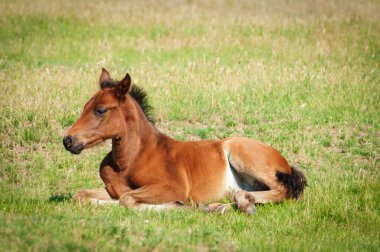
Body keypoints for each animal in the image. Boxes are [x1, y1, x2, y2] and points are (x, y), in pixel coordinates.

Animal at [62, 68, 306, 214]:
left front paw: (190, 206)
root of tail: (284, 162)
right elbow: (84, 196)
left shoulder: (172, 186)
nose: (68, 140)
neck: (128, 161)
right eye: (85, 107)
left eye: (100, 110)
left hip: (242, 153)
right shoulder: (112, 189)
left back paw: (239, 203)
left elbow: (128, 200)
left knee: (284, 191)